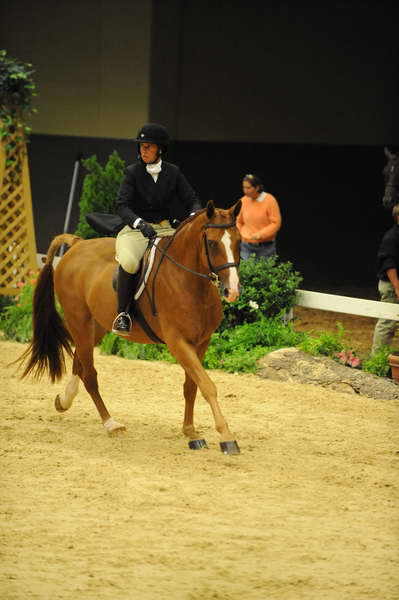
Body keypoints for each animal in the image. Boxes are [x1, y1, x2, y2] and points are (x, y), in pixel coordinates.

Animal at [18, 202, 242, 454]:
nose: (232, 290)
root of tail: (77, 244)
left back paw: (64, 400)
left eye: (238, 242)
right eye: (212, 243)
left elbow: (191, 386)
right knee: (90, 374)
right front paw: (226, 437)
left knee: (80, 362)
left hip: (96, 326)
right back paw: (110, 423)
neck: (189, 282)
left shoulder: (201, 342)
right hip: (78, 319)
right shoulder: (178, 342)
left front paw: (190, 431)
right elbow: (207, 385)